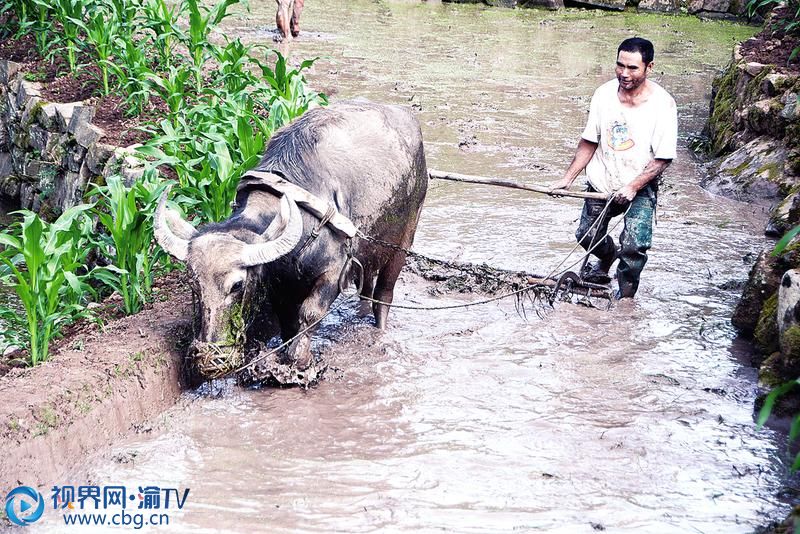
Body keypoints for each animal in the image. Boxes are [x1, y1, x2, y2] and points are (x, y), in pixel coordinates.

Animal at [157, 101, 432, 376]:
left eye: (237, 285)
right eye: (194, 285)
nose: (211, 359)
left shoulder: (334, 273)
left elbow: (310, 313)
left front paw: (299, 359)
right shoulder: (280, 286)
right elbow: (287, 321)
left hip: (405, 239)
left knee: (383, 296)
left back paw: (379, 331)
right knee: (366, 290)